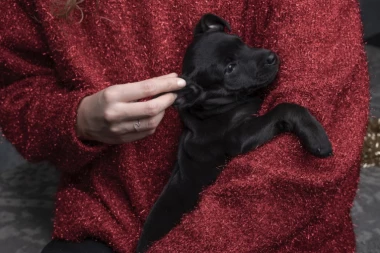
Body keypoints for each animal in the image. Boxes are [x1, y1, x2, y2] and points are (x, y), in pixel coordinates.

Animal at [136, 13, 330, 253]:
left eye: (241, 42)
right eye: (230, 68)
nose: (271, 56)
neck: (214, 108)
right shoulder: (238, 137)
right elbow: (284, 107)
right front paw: (317, 137)